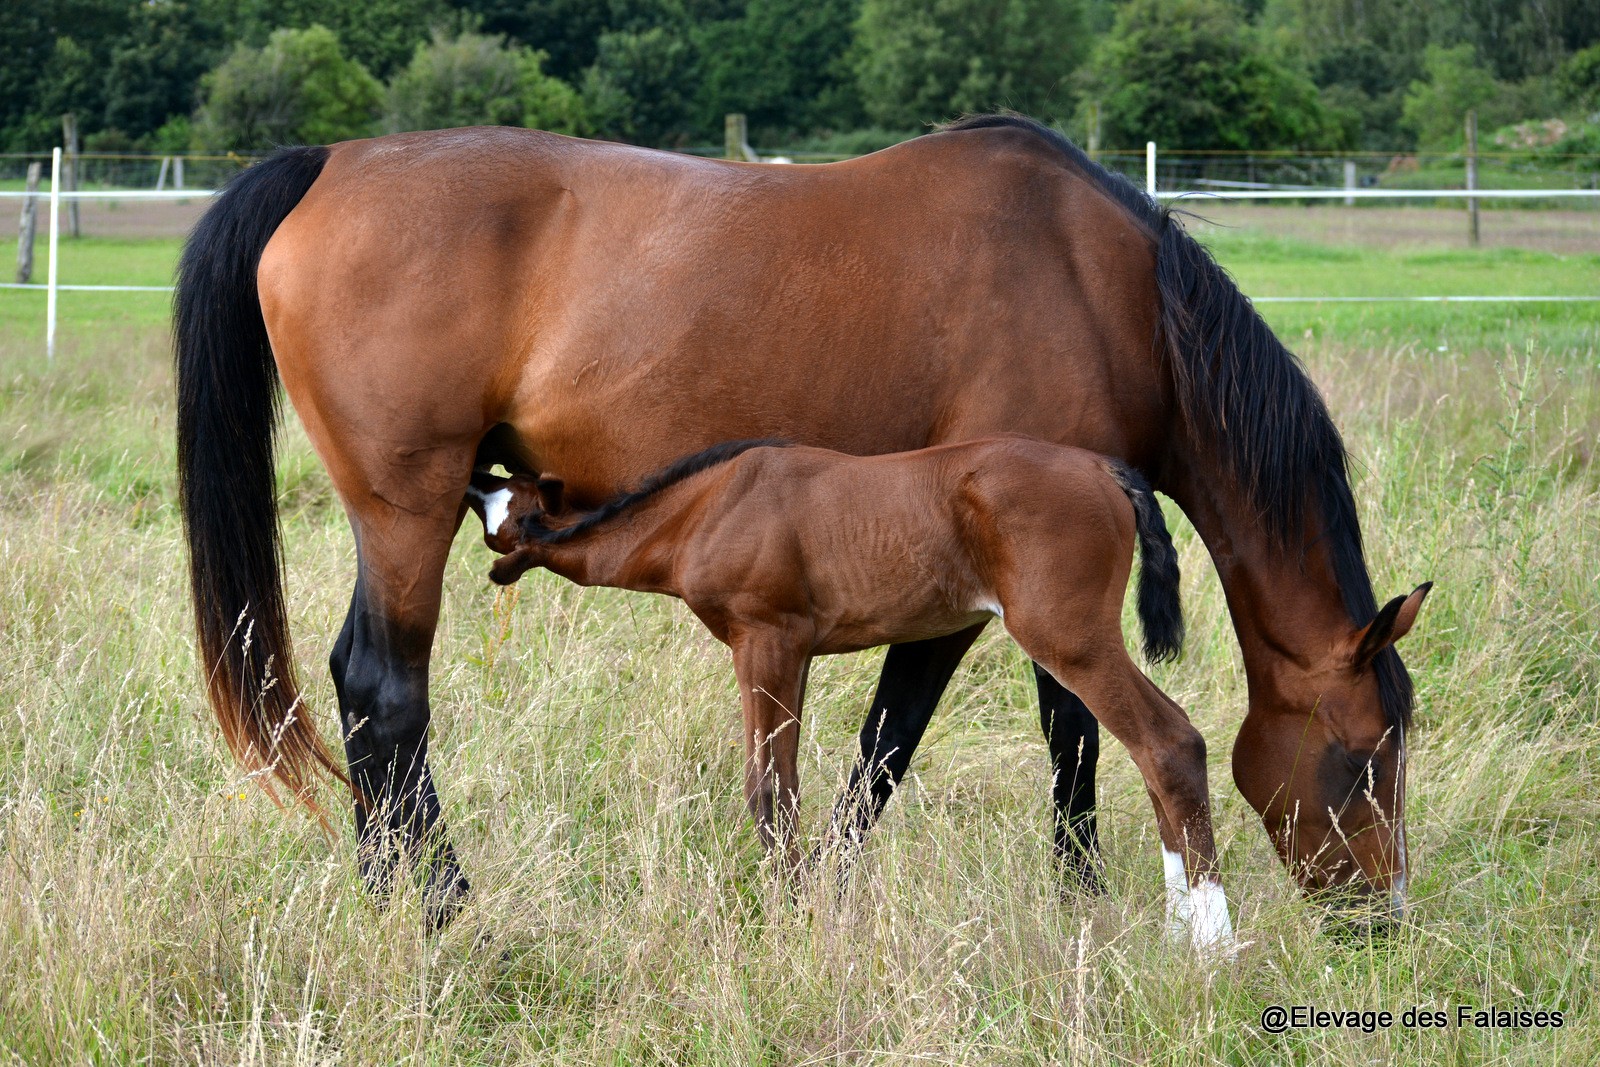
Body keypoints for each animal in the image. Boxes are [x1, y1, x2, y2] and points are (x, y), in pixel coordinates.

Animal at [464, 435, 1248, 953]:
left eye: (502, 500)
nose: (466, 474)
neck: (708, 505)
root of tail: (1105, 468)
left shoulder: (766, 639)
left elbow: (770, 788)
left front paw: (784, 920)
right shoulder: (793, 655)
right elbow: (784, 781)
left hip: (1069, 636)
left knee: (1169, 741)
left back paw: (1209, 944)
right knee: (1155, 749)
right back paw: (1178, 930)